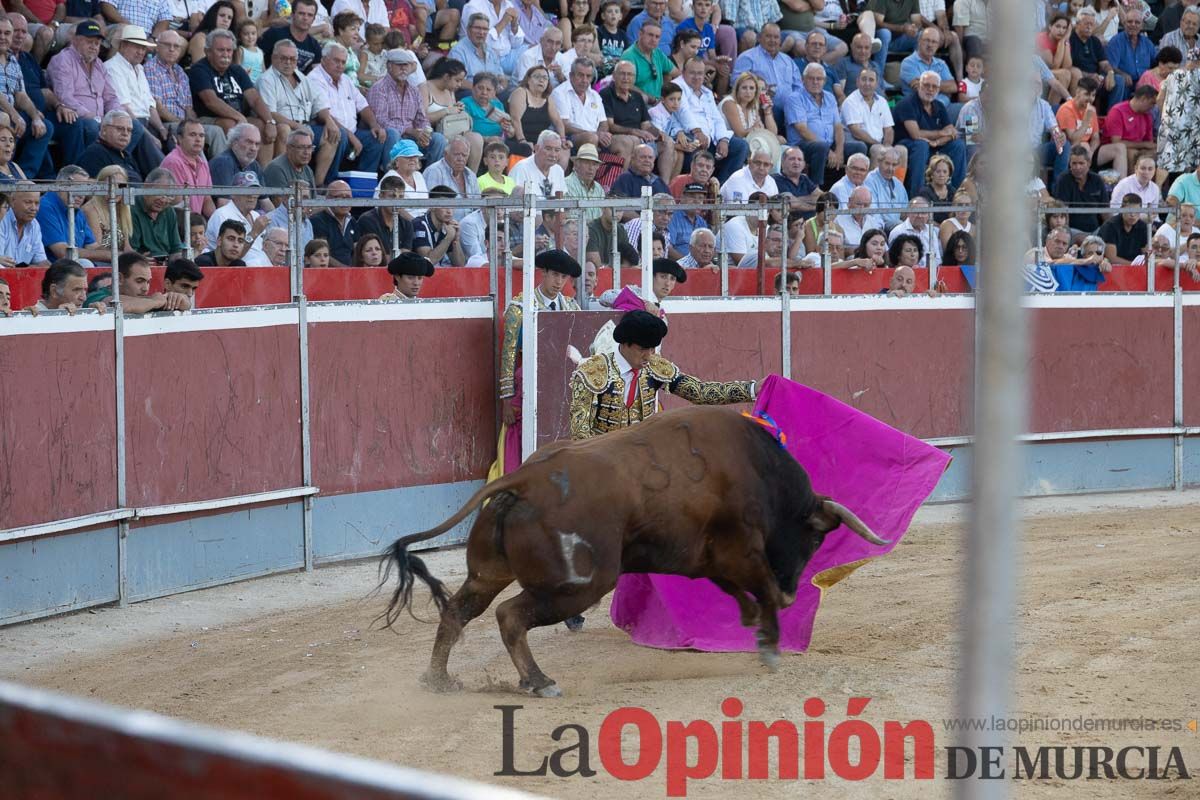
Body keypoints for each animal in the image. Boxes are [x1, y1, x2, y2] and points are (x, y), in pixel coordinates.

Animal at [379, 407, 888, 695]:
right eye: (816, 538)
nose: (792, 591)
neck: (759, 469)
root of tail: (524, 478)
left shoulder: (706, 555)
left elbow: (733, 587)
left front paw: (756, 627)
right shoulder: (741, 546)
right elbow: (757, 582)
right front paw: (771, 644)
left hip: (487, 573)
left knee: (458, 612)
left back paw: (440, 680)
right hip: (578, 586)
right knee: (510, 616)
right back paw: (539, 682)